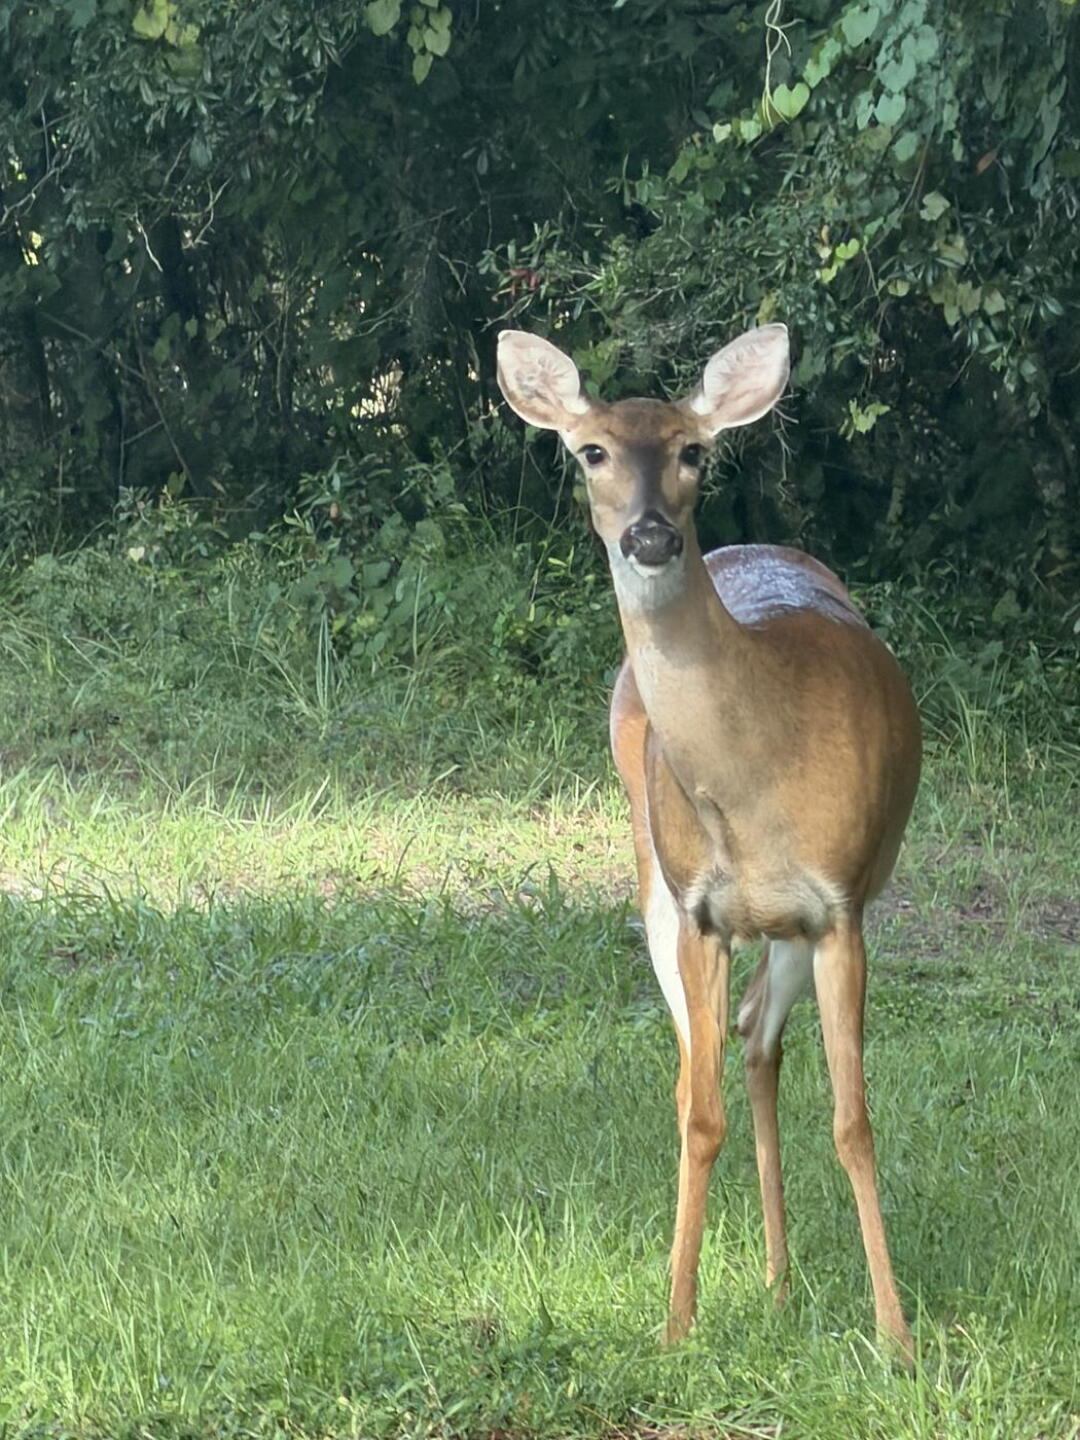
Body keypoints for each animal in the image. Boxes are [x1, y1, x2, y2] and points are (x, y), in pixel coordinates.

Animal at [496, 322, 921, 1362]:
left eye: (694, 451)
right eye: (591, 451)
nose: (650, 534)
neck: (755, 768)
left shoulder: (839, 905)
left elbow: (853, 1121)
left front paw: (895, 1336)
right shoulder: (700, 912)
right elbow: (700, 1112)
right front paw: (676, 1322)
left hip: (801, 922)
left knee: (760, 1043)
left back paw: (777, 1277)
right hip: (653, 879)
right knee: (708, 1057)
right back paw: (760, 1277)